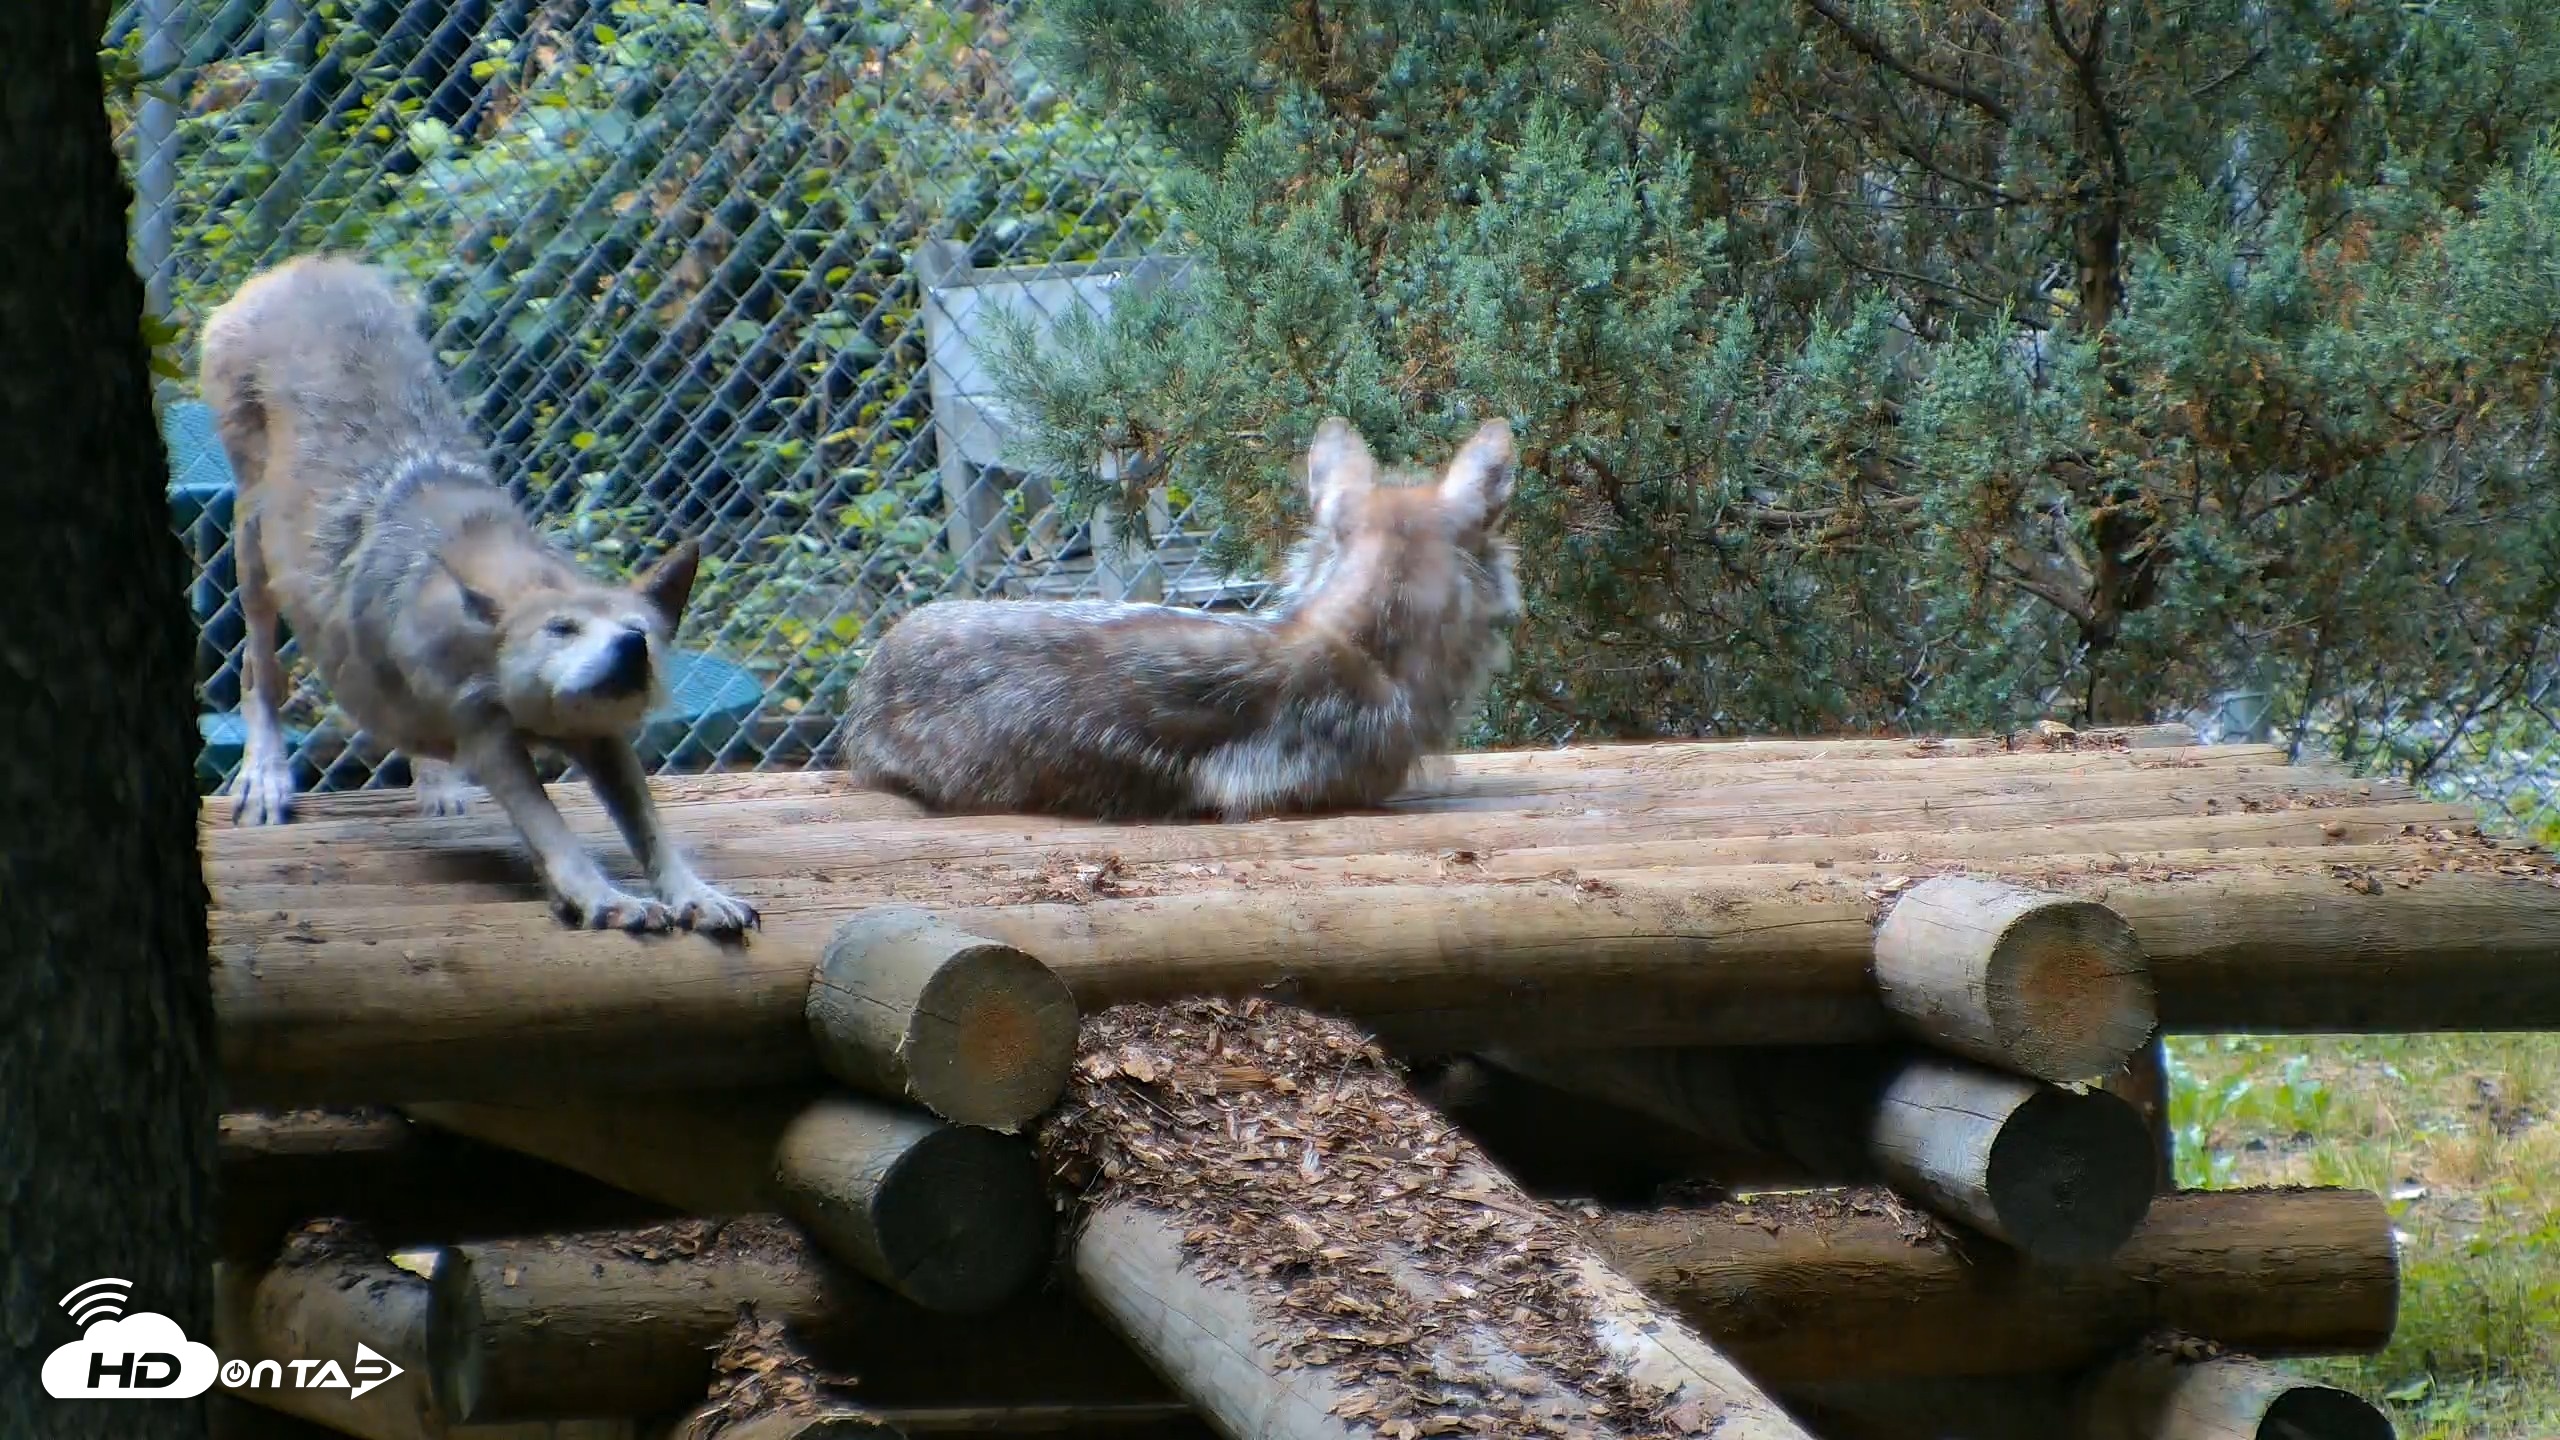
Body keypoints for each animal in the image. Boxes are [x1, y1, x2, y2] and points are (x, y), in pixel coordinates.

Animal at [198, 255, 758, 935]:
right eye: (560, 629)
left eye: (641, 633)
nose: (630, 651)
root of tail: (304, 267)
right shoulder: (488, 735)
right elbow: (553, 829)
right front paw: (605, 899)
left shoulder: (600, 736)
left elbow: (651, 828)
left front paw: (697, 894)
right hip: (253, 550)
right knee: (258, 669)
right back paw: (267, 777)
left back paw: (438, 786)